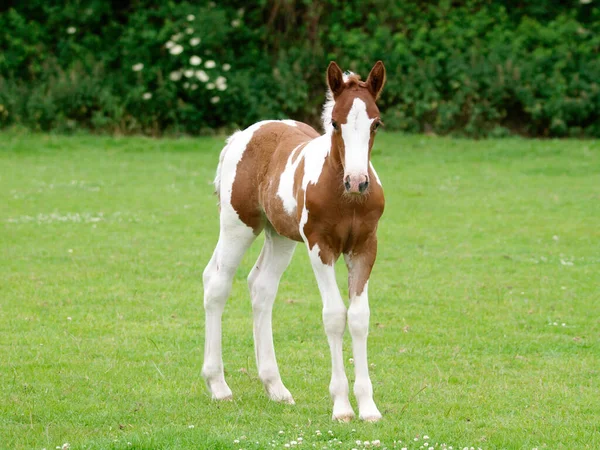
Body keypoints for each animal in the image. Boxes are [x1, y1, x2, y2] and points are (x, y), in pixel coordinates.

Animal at [202, 60, 386, 422]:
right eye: (335, 122)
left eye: (376, 123)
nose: (357, 182)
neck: (345, 197)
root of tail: (241, 136)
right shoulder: (320, 248)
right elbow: (334, 316)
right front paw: (342, 407)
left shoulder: (364, 249)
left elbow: (359, 318)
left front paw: (368, 408)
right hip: (238, 225)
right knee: (216, 283)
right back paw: (219, 386)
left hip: (280, 237)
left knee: (260, 287)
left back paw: (276, 387)